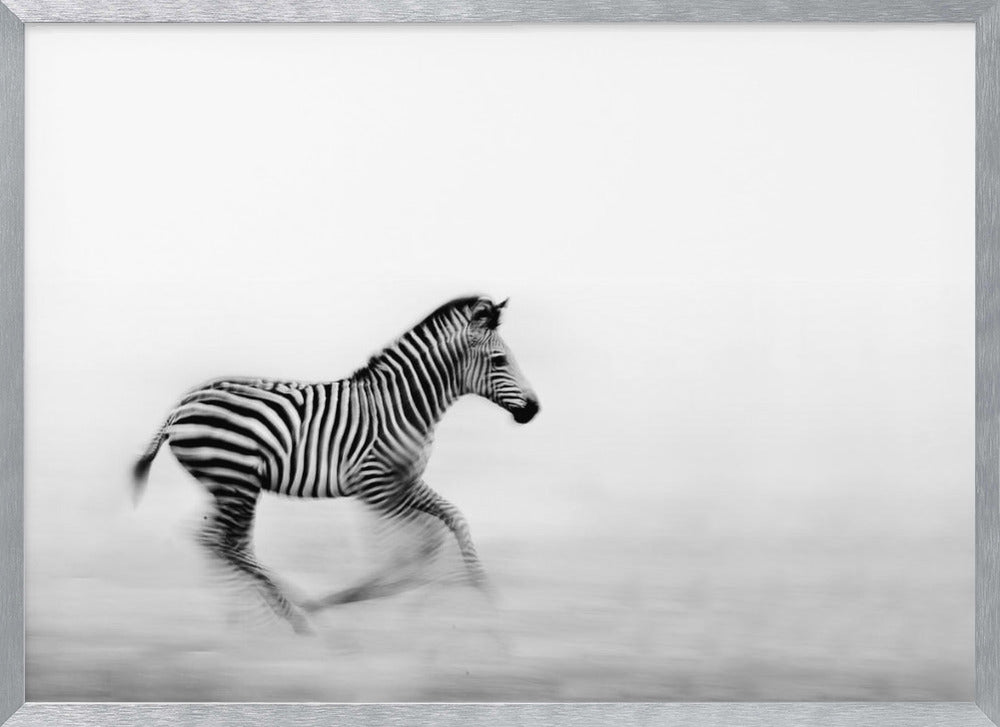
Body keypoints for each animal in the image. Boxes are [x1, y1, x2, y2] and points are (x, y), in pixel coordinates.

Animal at [132, 295, 540, 634]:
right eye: (500, 360)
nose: (534, 410)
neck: (404, 405)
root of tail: (182, 406)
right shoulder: (376, 488)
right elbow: (408, 550)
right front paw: (368, 598)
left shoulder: (404, 482)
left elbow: (451, 522)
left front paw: (486, 597)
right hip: (237, 481)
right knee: (222, 542)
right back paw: (293, 616)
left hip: (227, 484)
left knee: (222, 542)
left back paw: (252, 619)